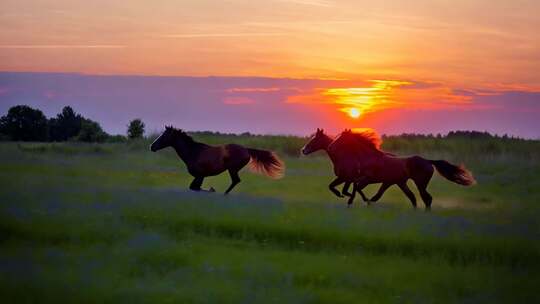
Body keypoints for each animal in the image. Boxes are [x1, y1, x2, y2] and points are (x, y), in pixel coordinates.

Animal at [150, 126, 284, 194]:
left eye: (164, 135)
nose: (152, 146)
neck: (193, 152)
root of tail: (246, 149)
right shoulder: (200, 177)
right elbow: (194, 187)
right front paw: (211, 189)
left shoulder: (200, 176)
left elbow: (195, 188)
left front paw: (211, 189)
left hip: (232, 169)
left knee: (236, 181)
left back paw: (224, 194)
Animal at [332, 129, 474, 210]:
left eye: (342, 138)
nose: (331, 146)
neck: (369, 158)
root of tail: (428, 161)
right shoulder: (385, 182)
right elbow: (369, 193)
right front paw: (356, 200)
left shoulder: (369, 179)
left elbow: (357, 187)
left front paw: (353, 201)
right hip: (402, 183)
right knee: (414, 198)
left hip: (420, 183)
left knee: (426, 198)